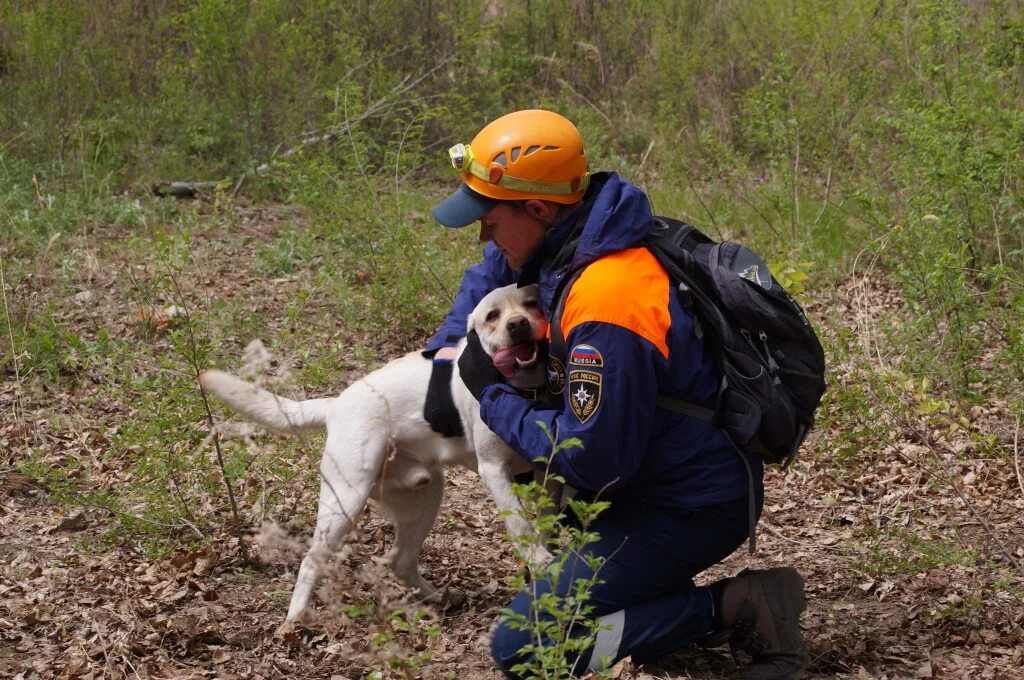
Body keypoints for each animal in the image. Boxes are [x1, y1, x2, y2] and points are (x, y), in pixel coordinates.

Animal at [199, 280, 552, 622]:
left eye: (531, 303)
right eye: (492, 316)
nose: (518, 324)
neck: (525, 390)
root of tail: (335, 405)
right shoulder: (493, 468)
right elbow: (521, 524)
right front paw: (541, 560)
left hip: (425, 496)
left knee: (400, 562)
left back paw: (434, 598)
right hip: (346, 502)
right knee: (312, 560)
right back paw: (295, 619)